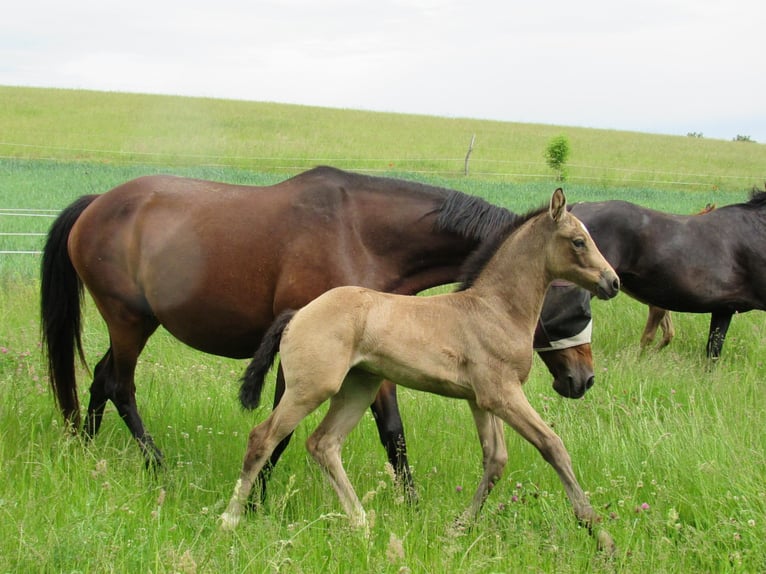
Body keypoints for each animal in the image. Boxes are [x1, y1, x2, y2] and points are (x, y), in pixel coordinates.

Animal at [42, 168, 600, 496]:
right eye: (574, 308)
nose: (584, 380)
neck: (359, 234)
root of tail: (96, 202)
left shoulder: (371, 356)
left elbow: (393, 434)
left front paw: (411, 505)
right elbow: (280, 431)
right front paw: (258, 498)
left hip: (132, 325)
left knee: (100, 378)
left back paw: (84, 449)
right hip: (128, 321)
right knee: (120, 385)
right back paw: (156, 464)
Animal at [224, 190, 624, 552]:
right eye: (578, 241)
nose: (613, 282)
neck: (494, 309)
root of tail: (297, 314)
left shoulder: (482, 401)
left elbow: (495, 460)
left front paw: (457, 528)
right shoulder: (504, 394)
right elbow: (552, 445)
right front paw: (599, 533)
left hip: (359, 388)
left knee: (323, 443)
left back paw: (362, 523)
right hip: (311, 388)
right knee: (262, 438)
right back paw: (231, 519)